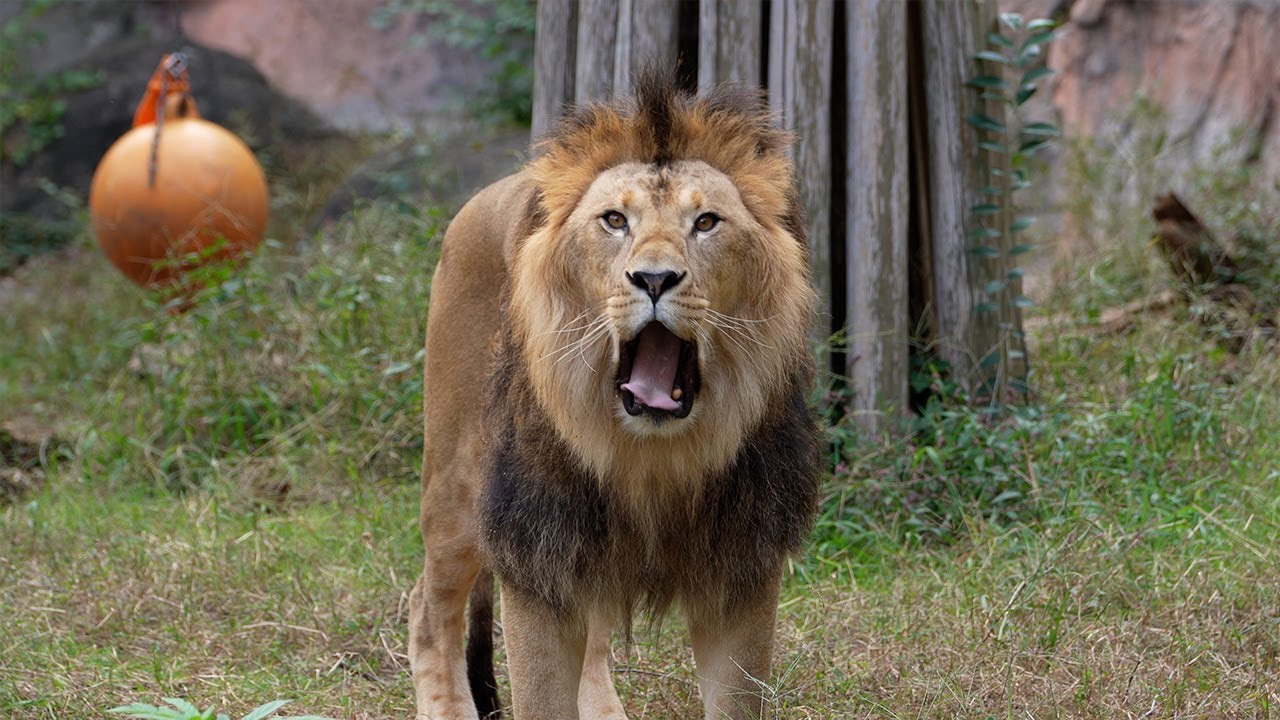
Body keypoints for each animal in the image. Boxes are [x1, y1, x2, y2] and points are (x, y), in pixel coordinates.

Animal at [407, 74, 820, 720]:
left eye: (706, 222)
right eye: (614, 221)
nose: (653, 278)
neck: (649, 459)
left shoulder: (742, 569)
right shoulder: (537, 558)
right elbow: (540, 697)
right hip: (458, 488)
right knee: (427, 605)